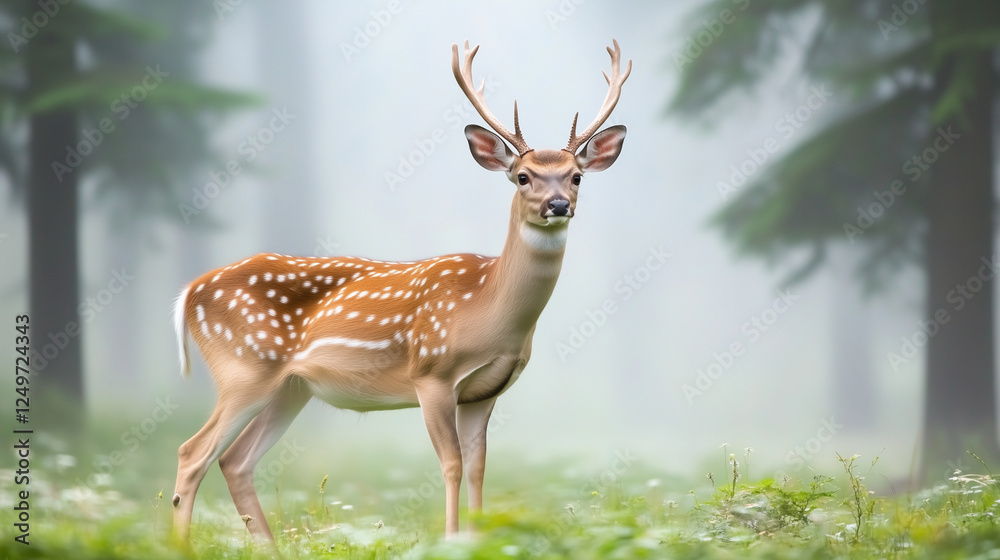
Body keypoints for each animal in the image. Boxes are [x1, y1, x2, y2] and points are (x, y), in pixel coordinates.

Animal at [171, 39, 630, 542]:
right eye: (523, 176)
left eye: (576, 176)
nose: (558, 205)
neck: (488, 310)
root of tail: (190, 291)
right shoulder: (431, 373)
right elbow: (451, 464)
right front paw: (450, 540)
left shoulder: (485, 391)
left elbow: (478, 467)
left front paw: (476, 539)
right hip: (243, 367)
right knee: (193, 453)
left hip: (290, 387)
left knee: (235, 461)